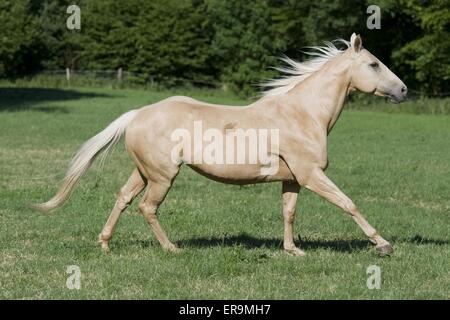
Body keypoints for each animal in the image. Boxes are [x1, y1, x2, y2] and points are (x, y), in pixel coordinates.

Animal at [34, 34, 408, 255]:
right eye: (374, 64)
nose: (403, 90)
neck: (303, 114)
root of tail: (137, 113)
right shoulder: (311, 174)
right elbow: (348, 203)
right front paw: (383, 244)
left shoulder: (292, 179)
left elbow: (288, 212)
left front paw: (293, 251)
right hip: (162, 177)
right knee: (147, 207)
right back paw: (172, 248)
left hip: (143, 172)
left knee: (124, 198)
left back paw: (105, 243)